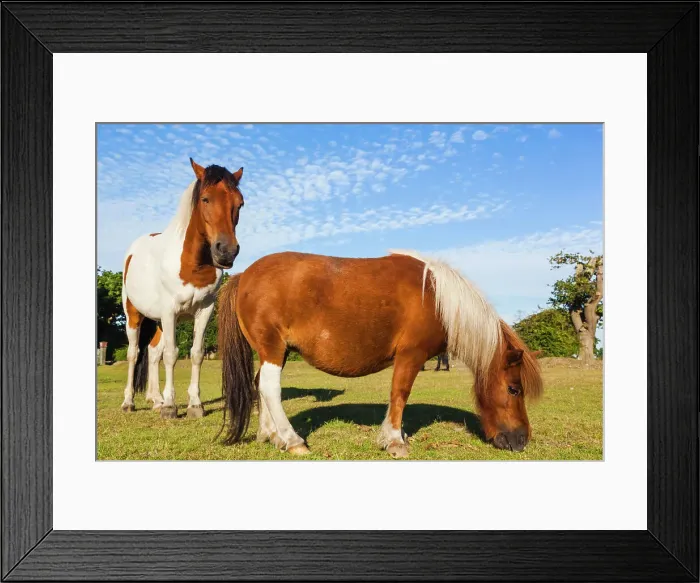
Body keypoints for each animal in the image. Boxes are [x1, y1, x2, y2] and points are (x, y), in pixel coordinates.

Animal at [120, 158, 245, 419]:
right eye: (205, 199)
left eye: (240, 203)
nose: (226, 251)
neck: (192, 264)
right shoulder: (170, 311)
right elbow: (171, 354)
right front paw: (170, 407)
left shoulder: (204, 311)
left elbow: (196, 354)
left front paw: (194, 405)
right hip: (134, 315)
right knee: (134, 353)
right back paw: (129, 402)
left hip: (158, 321)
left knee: (152, 353)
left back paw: (156, 399)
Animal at [217, 250, 543, 458]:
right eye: (514, 389)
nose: (522, 440)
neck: (438, 298)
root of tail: (244, 275)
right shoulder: (411, 355)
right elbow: (400, 394)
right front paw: (394, 440)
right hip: (273, 349)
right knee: (270, 388)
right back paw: (291, 439)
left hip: (276, 351)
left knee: (260, 385)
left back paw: (269, 435)